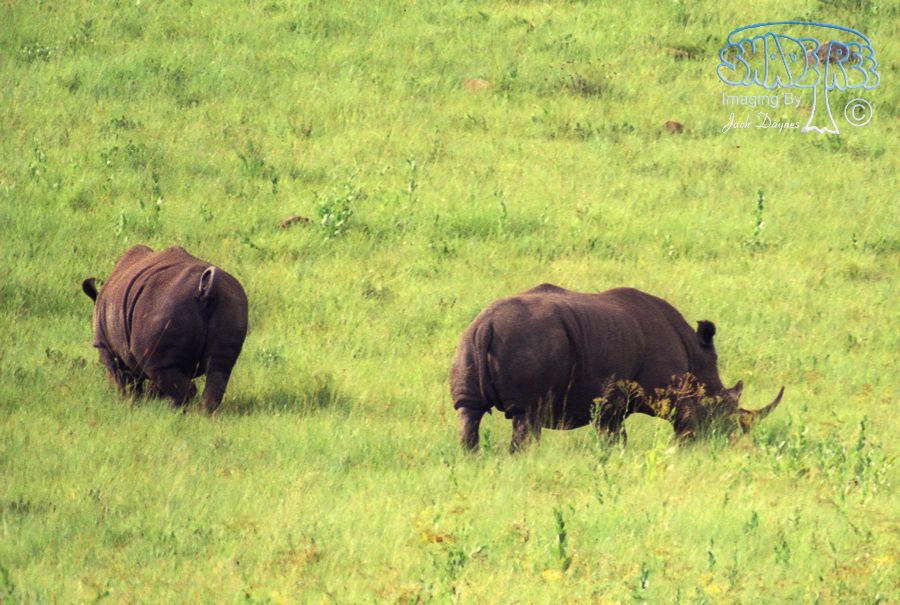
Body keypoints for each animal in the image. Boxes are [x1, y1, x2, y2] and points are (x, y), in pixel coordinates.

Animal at [82, 245, 248, 412]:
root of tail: (207, 289)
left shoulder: (105, 346)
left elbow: (122, 378)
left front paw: (128, 403)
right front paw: (144, 403)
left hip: (166, 304)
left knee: (161, 370)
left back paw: (177, 411)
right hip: (231, 301)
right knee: (219, 368)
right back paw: (202, 414)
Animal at [450, 284, 784, 451]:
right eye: (720, 412)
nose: (728, 444)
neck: (695, 362)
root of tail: (486, 326)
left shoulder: (611, 401)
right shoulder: (617, 400)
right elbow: (616, 437)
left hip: (466, 342)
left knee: (469, 412)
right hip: (529, 343)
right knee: (526, 417)